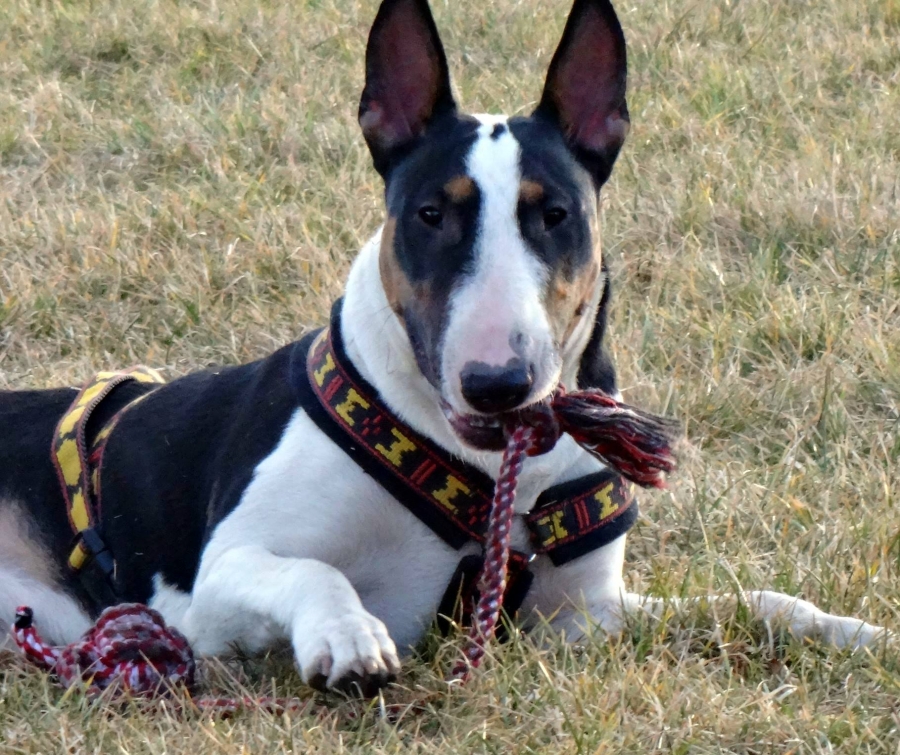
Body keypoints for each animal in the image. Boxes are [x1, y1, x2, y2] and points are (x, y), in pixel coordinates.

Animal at [0, 0, 887, 694]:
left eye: (556, 213)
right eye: (430, 213)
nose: (498, 382)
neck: (489, 474)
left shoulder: (584, 620)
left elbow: (757, 602)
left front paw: (856, 632)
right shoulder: (205, 592)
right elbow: (315, 569)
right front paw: (348, 634)